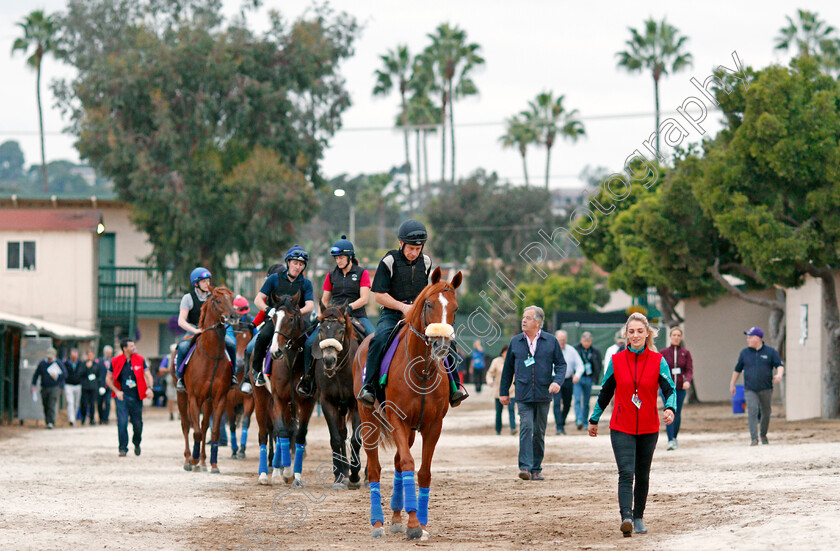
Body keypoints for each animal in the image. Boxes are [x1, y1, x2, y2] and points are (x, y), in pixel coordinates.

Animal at [175, 286, 238, 472]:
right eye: (217, 300)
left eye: (232, 299)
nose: (234, 316)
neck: (211, 357)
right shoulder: (194, 398)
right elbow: (194, 431)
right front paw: (193, 460)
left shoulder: (219, 398)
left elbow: (213, 431)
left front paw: (213, 464)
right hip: (182, 397)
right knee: (186, 426)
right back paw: (189, 460)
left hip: (208, 402)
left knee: (204, 427)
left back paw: (202, 462)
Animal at [249, 292, 318, 486]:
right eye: (273, 318)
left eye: (291, 318)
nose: (275, 351)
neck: (292, 360)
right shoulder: (279, 398)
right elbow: (282, 432)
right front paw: (285, 472)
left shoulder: (308, 402)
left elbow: (299, 434)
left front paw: (296, 475)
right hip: (261, 400)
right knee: (264, 434)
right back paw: (264, 474)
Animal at [308, 302, 360, 492]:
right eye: (321, 329)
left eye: (341, 330)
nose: (329, 360)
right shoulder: (327, 402)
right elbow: (336, 438)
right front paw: (339, 476)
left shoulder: (357, 404)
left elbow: (356, 440)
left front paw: (355, 476)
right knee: (342, 433)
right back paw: (344, 472)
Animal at [352, 268, 462, 540]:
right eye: (429, 304)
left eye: (455, 308)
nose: (442, 345)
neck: (421, 371)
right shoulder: (398, 420)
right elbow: (409, 463)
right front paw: (413, 524)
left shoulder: (433, 425)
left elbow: (423, 472)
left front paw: (420, 523)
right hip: (368, 419)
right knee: (375, 468)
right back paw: (378, 523)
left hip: (411, 429)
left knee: (397, 463)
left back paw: (395, 518)